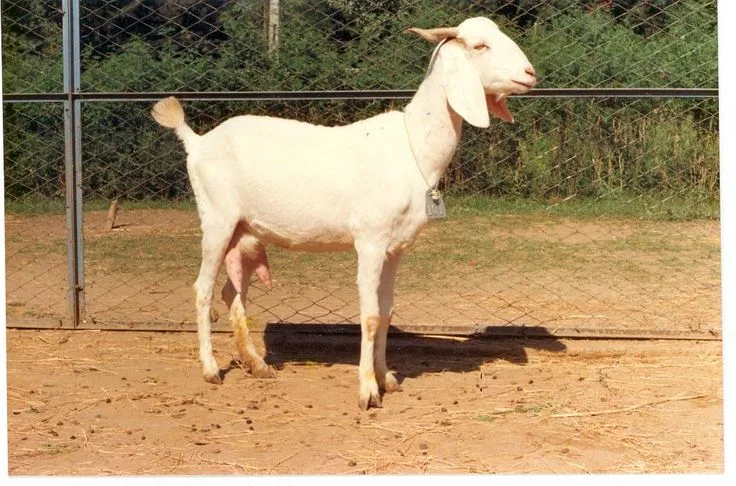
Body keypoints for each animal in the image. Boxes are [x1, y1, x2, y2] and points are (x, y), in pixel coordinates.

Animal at [152, 17, 536, 410]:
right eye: (479, 46)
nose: (530, 73)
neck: (412, 146)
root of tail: (197, 142)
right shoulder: (370, 240)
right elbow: (370, 315)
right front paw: (368, 390)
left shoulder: (396, 248)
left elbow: (387, 311)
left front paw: (388, 377)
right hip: (216, 219)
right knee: (203, 290)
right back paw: (211, 370)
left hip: (243, 232)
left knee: (233, 293)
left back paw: (257, 364)